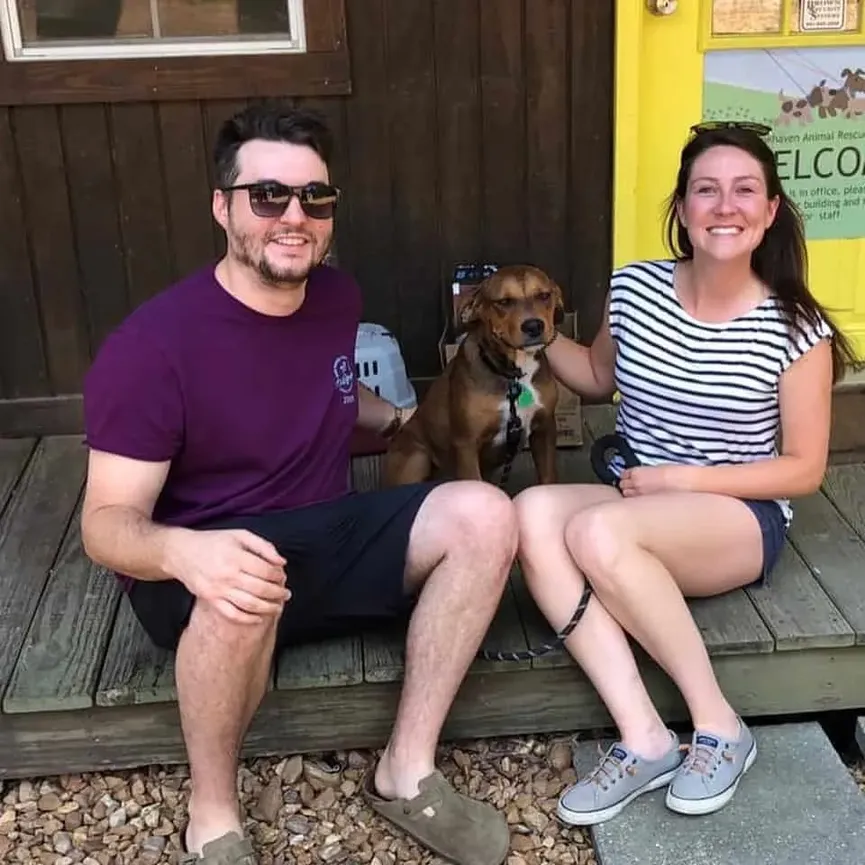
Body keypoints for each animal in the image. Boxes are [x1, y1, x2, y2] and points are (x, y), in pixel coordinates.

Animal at [384, 264, 560, 486]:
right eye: (504, 302)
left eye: (544, 295)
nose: (534, 326)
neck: (515, 375)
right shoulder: (466, 444)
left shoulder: (544, 431)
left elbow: (548, 478)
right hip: (416, 458)